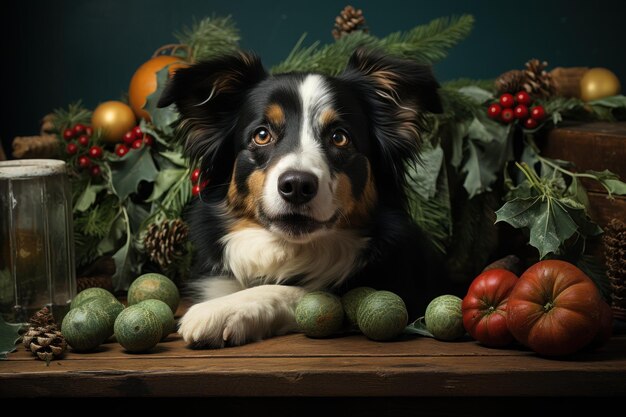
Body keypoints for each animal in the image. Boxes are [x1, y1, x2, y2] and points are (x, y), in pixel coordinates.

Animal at [158, 48, 442, 348]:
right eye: (262, 134)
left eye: (339, 137)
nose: (296, 185)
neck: (288, 250)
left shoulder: (403, 291)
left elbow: (307, 291)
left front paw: (221, 309)